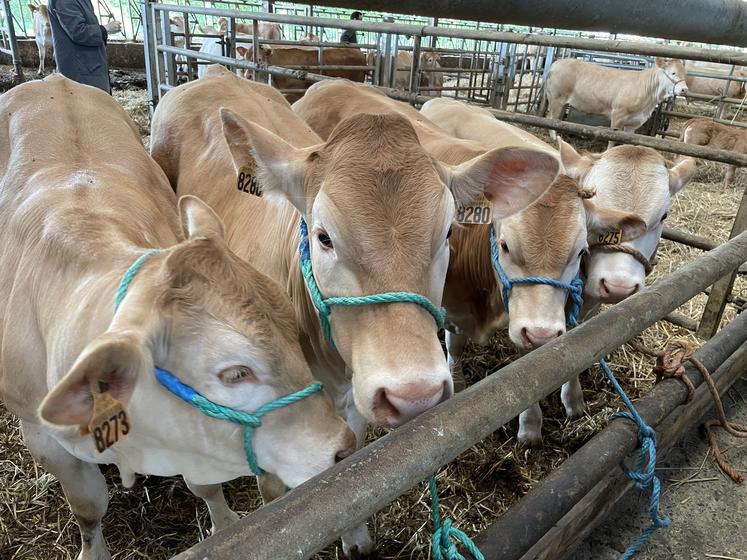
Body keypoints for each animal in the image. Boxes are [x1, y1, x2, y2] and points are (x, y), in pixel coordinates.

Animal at [0, 75, 356, 560]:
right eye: (235, 373)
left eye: (292, 329)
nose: (343, 449)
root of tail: (52, 79)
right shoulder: (40, 436)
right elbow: (88, 507)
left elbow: (204, 487)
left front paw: (225, 526)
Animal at [544, 56, 688, 144]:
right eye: (673, 73)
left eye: (685, 74)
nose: (684, 89)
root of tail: (556, 63)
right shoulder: (618, 114)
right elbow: (612, 140)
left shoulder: (634, 123)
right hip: (556, 98)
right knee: (551, 119)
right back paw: (554, 139)